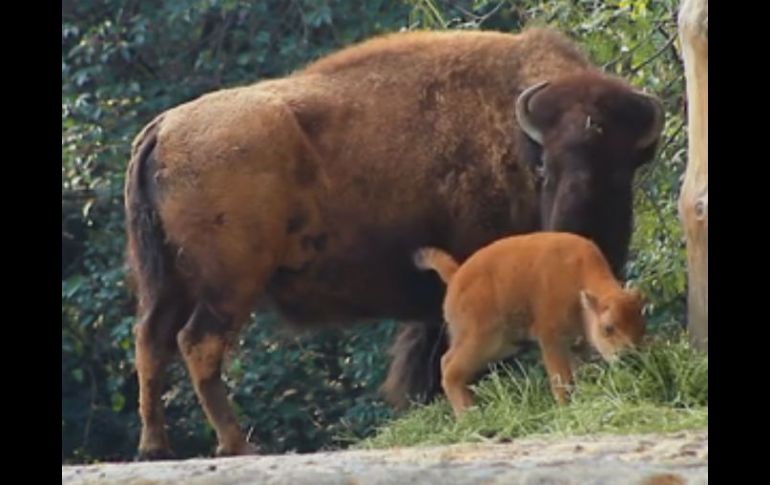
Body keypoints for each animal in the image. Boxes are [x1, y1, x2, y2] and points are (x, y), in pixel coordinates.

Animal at [412, 232, 644, 416]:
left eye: (640, 327)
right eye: (608, 327)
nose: (629, 356)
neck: (577, 278)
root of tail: (456, 276)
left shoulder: (576, 344)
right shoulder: (551, 340)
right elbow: (561, 379)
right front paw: (564, 408)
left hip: (499, 346)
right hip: (481, 340)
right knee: (450, 368)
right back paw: (470, 417)